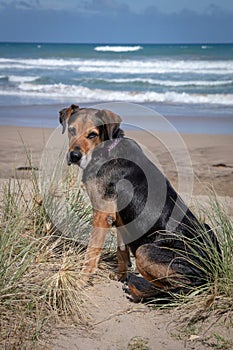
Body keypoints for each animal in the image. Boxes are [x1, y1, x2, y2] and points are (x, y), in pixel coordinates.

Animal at [59, 103, 219, 300]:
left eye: (92, 134)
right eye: (71, 130)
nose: (74, 156)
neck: (106, 150)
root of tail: (211, 271)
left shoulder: (102, 214)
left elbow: (92, 253)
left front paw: (80, 282)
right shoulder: (119, 217)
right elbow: (121, 249)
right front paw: (121, 275)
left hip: (145, 251)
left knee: (179, 289)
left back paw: (139, 293)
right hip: (207, 230)